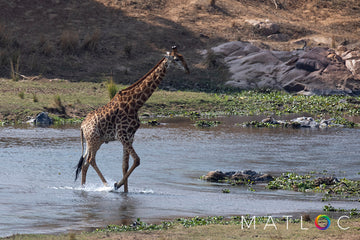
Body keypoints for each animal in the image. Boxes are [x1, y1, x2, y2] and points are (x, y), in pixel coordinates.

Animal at [74, 46, 190, 192]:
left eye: (183, 56)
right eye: (176, 59)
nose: (187, 69)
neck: (135, 105)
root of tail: (82, 126)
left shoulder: (129, 137)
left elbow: (125, 166)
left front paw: (125, 192)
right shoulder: (122, 135)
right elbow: (137, 160)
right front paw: (117, 184)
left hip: (95, 141)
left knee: (85, 164)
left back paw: (83, 188)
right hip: (93, 140)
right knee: (90, 160)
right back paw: (107, 185)